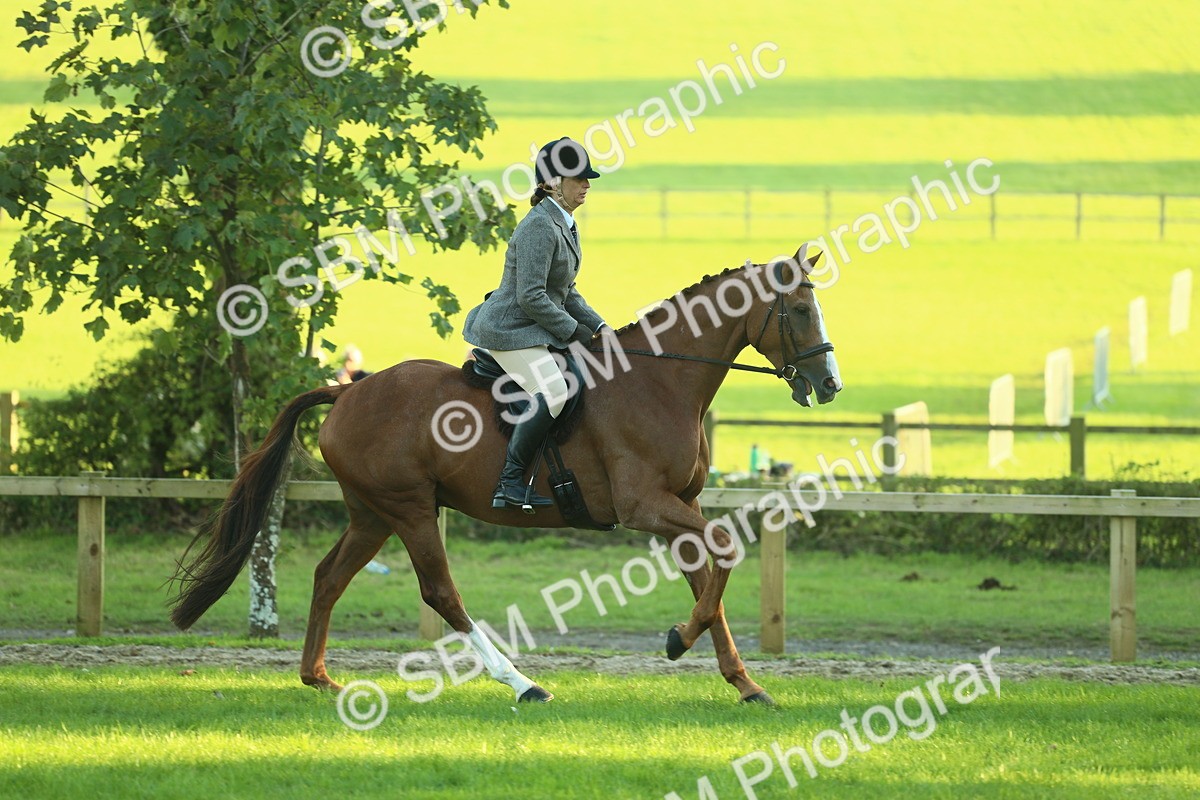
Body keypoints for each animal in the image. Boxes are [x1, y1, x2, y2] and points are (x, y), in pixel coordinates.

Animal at [170, 245, 842, 705]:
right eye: (800, 309)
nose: (830, 383)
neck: (661, 380)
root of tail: (346, 391)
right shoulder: (645, 506)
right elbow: (723, 554)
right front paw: (679, 640)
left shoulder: (679, 506)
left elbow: (708, 579)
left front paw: (743, 682)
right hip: (410, 509)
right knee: (441, 592)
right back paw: (520, 682)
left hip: (372, 513)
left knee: (329, 577)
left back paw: (318, 677)